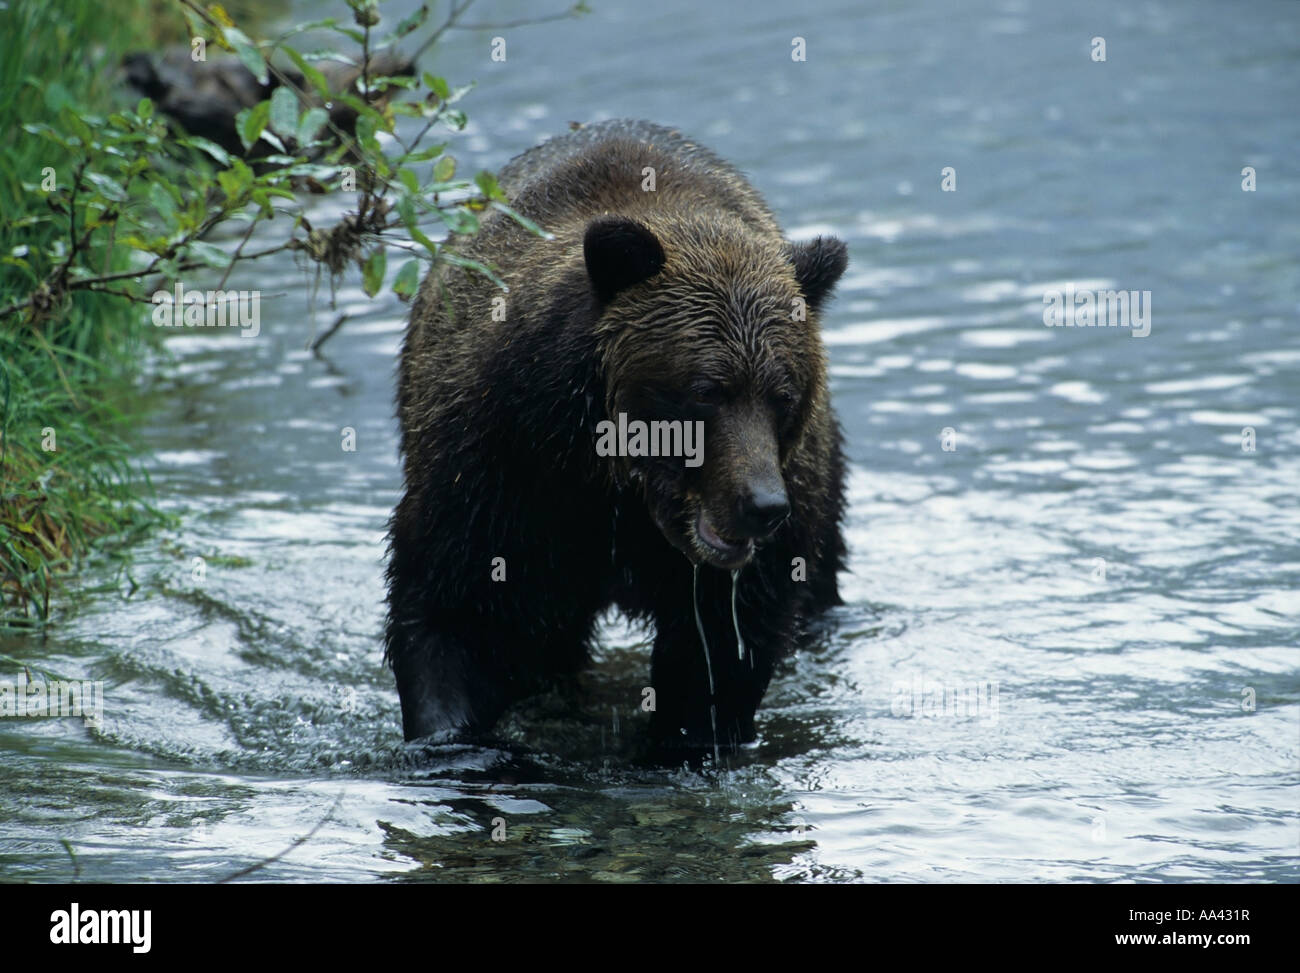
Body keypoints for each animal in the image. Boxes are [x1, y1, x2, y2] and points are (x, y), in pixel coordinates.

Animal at [385, 119, 848, 761]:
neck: (615, 486)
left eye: (783, 394)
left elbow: (721, 648)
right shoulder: (497, 469)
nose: (763, 505)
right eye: (707, 390)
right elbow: (456, 610)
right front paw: (453, 740)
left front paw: (683, 743)